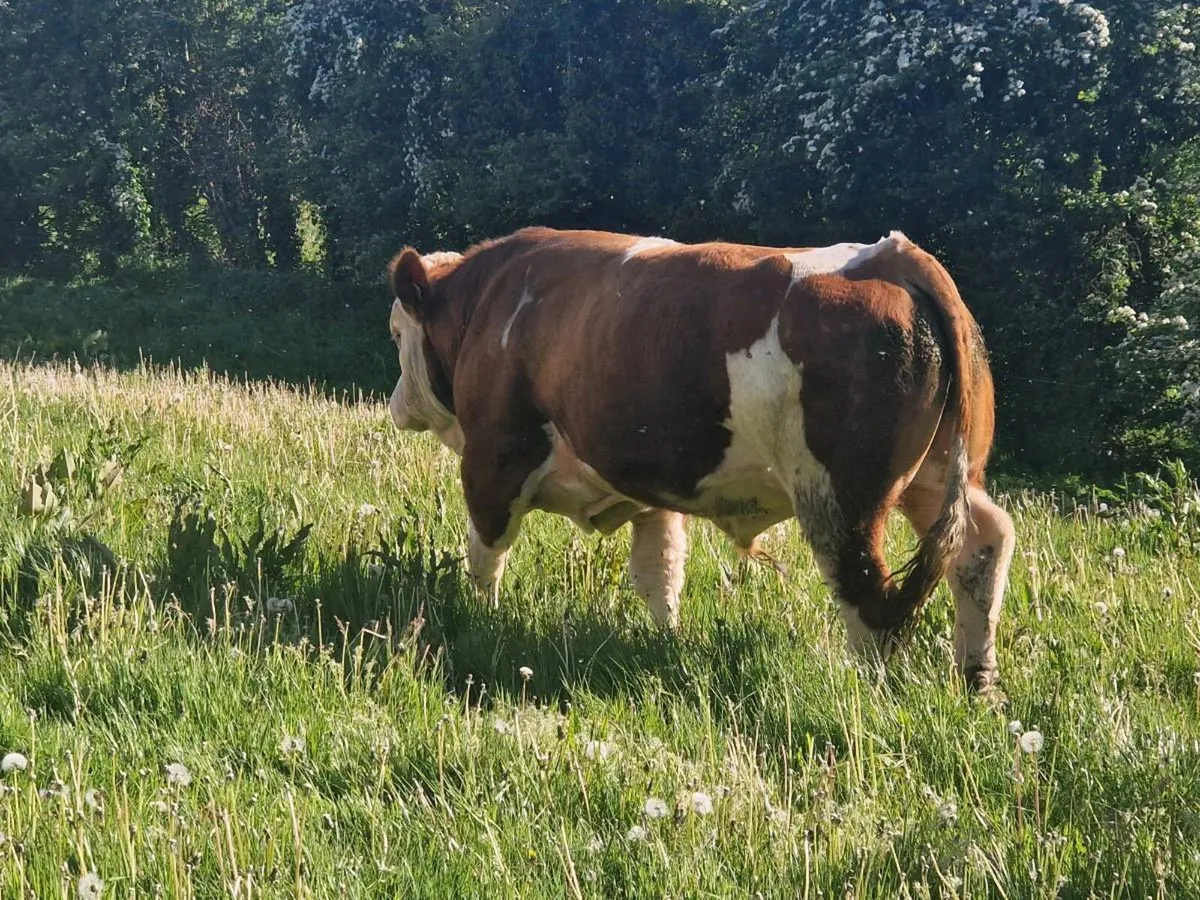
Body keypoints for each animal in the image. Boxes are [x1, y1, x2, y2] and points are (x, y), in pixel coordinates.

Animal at [385, 226, 1015, 693]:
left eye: (395, 333)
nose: (395, 404)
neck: (488, 303)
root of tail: (893, 256)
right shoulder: (648, 484)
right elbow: (659, 571)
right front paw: (664, 640)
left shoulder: (495, 458)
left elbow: (485, 556)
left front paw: (481, 625)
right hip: (940, 476)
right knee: (982, 545)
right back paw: (976, 681)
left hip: (842, 499)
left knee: (870, 596)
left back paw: (865, 693)